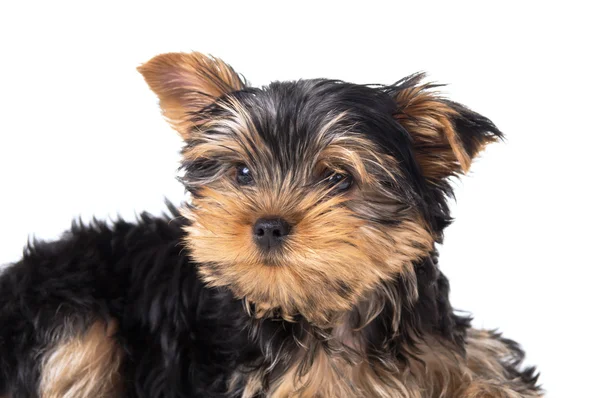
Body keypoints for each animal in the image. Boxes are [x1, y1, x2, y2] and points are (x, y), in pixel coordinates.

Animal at [0, 52, 540, 394]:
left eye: (337, 178)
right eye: (242, 173)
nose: (268, 225)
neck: (332, 314)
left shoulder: (449, 344)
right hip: (67, 313)